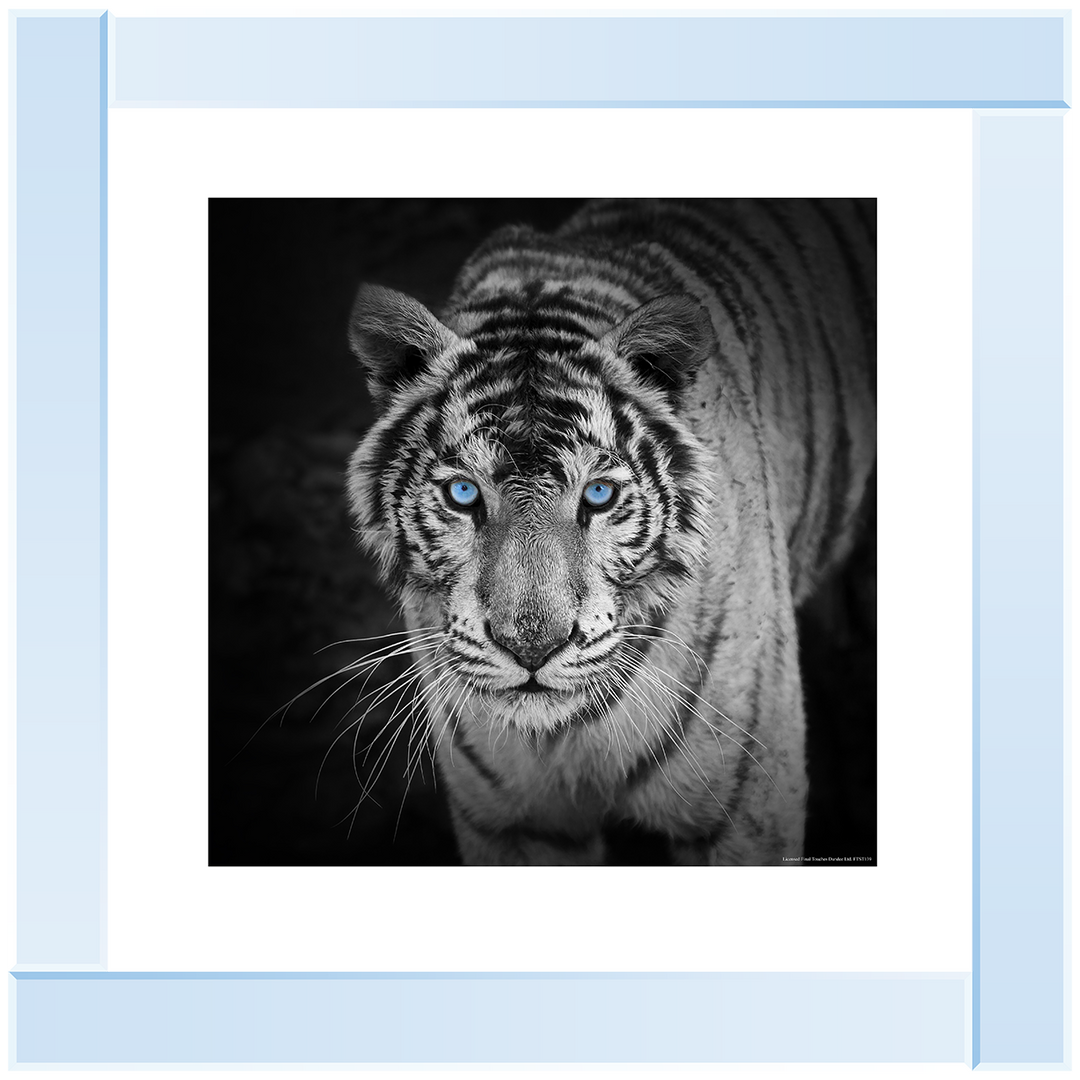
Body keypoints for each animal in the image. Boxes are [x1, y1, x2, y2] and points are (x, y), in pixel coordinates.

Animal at [344, 198, 876, 865]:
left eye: (597, 495)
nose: (532, 649)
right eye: (463, 493)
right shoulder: (513, 822)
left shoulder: (743, 810)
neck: (564, 735)